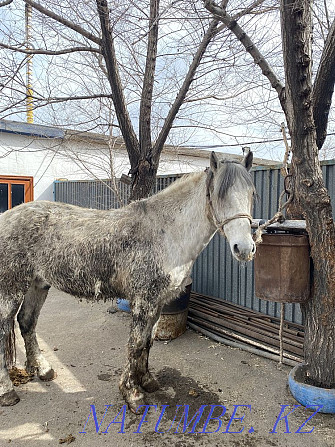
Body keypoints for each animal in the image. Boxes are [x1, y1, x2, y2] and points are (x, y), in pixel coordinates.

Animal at [0, 150, 256, 412]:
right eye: (219, 195)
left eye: (251, 193)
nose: (245, 248)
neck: (165, 233)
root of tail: (7, 217)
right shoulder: (143, 301)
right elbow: (135, 344)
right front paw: (132, 393)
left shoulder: (158, 302)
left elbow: (148, 342)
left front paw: (147, 381)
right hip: (11, 288)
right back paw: (7, 392)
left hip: (38, 283)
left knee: (27, 321)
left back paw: (42, 369)